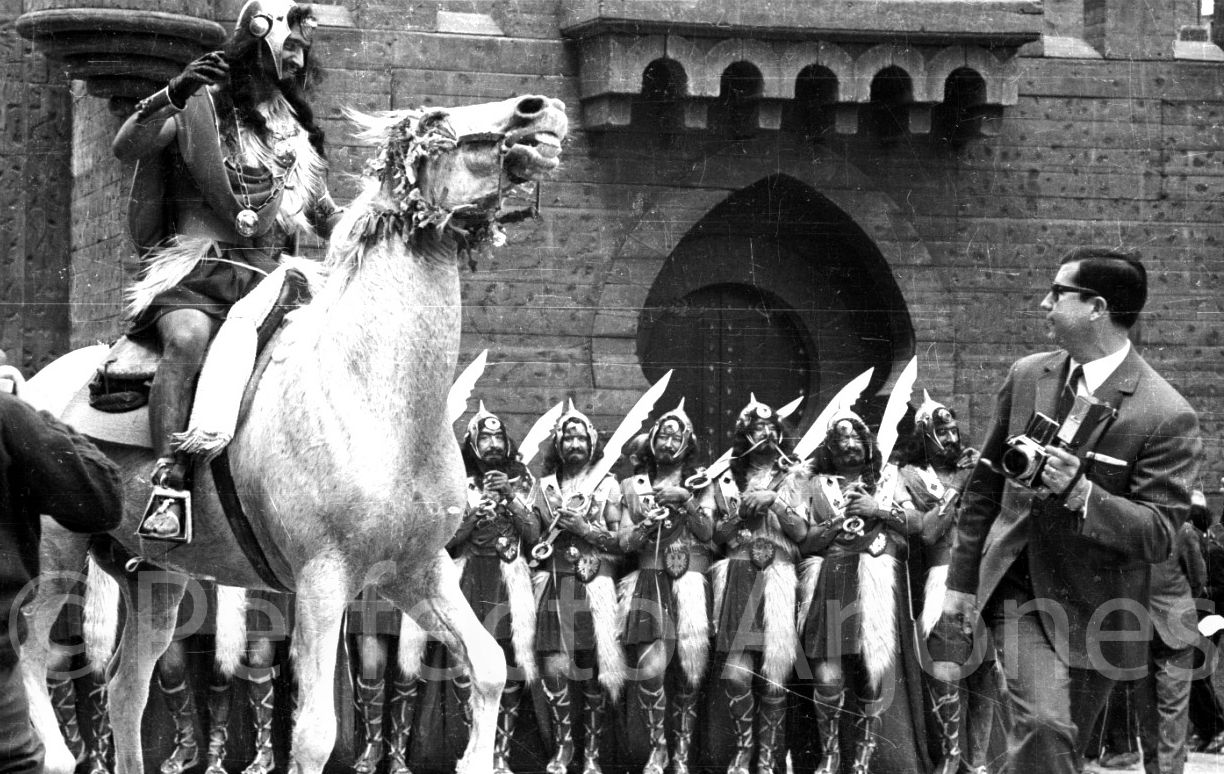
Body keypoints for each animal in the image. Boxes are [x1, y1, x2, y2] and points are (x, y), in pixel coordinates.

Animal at [20, 96, 567, 774]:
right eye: (437, 122)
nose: (540, 110)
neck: (371, 396)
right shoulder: (321, 579)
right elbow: (314, 734)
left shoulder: (419, 571)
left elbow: (489, 666)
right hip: (54, 559)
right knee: (29, 659)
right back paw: (54, 752)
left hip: (154, 580)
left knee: (125, 690)